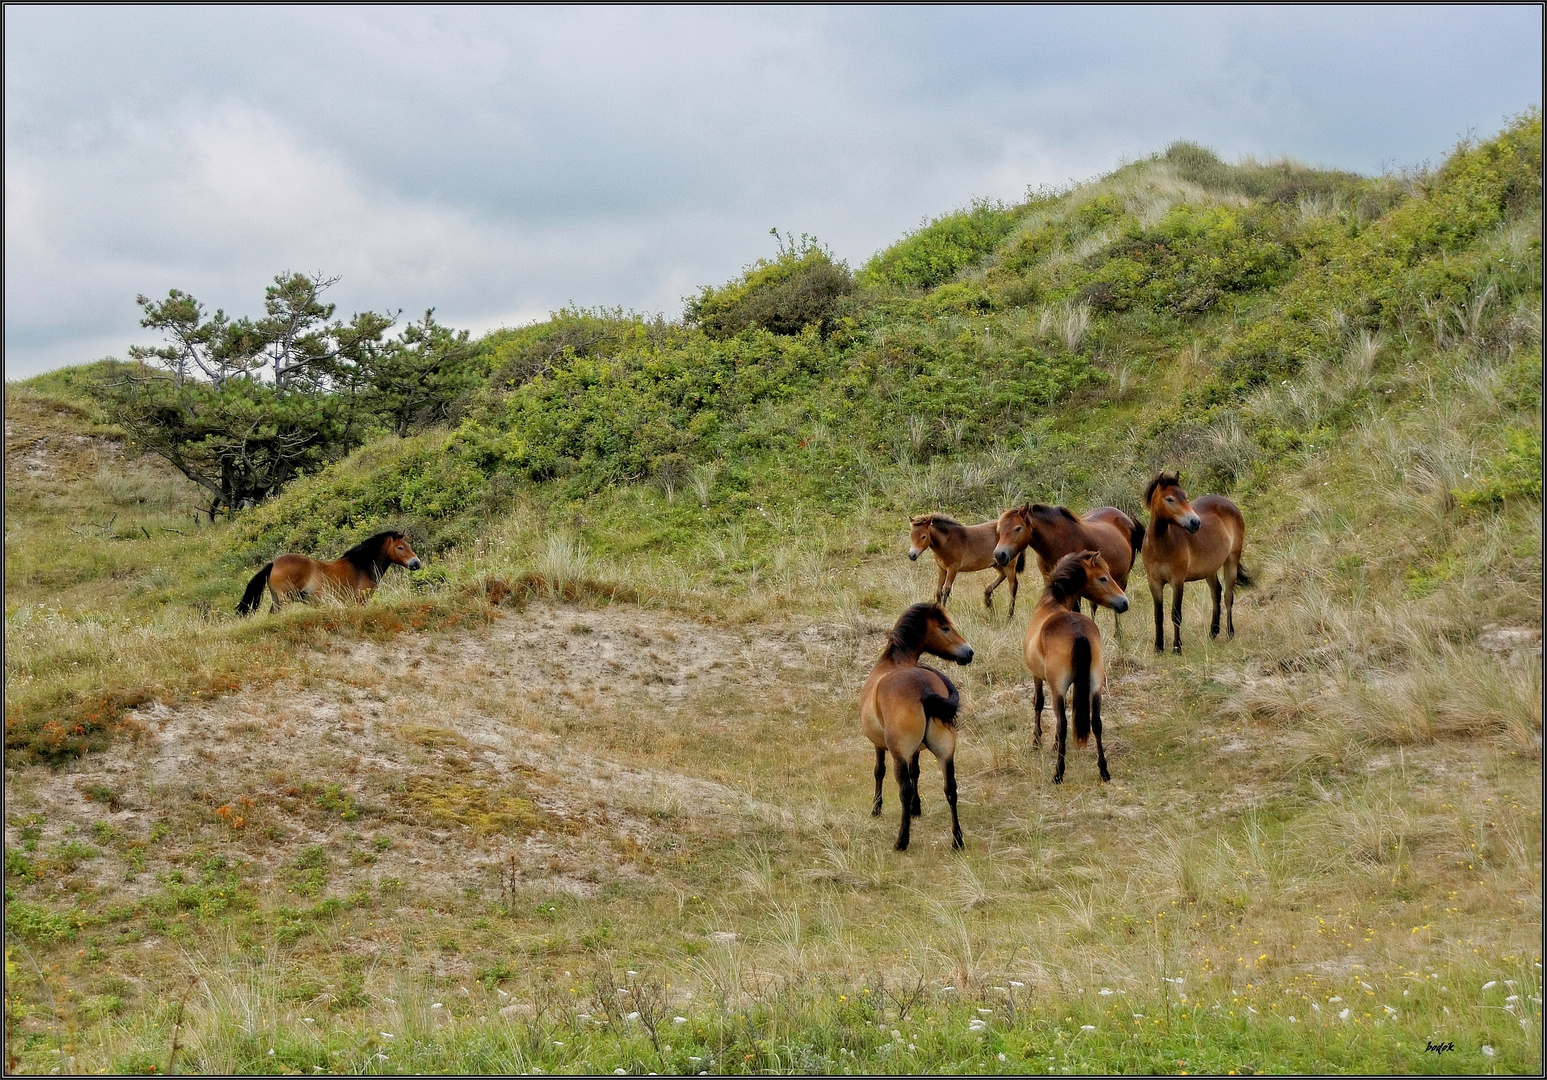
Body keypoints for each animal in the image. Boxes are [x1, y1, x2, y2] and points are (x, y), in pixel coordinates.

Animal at [235, 529, 420, 612]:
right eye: (400, 548)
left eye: (409, 545)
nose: (416, 563)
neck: (361, 565)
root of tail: (273, 563)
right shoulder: (360, 601)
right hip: (285, 599)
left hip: (277, 600)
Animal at [853, 600, 971, 847]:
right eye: (945, 628)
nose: (969, 652)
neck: (893, 661)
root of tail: (924, 689)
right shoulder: (916, 751)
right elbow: (916, 772)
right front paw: (917, 808)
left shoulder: (880, 746)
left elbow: (879, 771)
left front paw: (876, 808)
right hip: (946, 752)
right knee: (951, 788)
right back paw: (957, 839)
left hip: (900, 753)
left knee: (904, 789)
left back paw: (902, 840)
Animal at [990, 498, 1138, 612]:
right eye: (999, 529)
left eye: (1018, 528)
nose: (999, 554)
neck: (1057, 542)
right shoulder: (1049, 580)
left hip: (1122, 579)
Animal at [1021, 550, 1132, 776]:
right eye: (1103, 578)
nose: (1124, 603)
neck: (1052, 601)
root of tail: (1078, 632)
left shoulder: (1037, 676)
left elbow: (1038, 704)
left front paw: (1037, 742)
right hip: (1096, 685)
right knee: (1096, 722)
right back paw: (1103, 770)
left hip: (1058, 688)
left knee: (1062, 723)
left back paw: (1058, 773)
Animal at [1144, 473, 1249, 656]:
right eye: (1170, 499)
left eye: (1185, 496)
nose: (1195, 522)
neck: (1159, 546)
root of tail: (1230, 504)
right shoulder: (1154, 583)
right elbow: (1158, 615)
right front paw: (1158, 647)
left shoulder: (1177, 581)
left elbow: (1176, 614)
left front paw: (1177, 647)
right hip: (1210, 569)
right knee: (1216, 592)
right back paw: (1213, 632)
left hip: (1231, 560)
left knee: (1228, 596)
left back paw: (1229, 633)